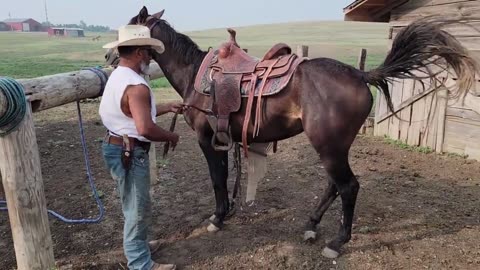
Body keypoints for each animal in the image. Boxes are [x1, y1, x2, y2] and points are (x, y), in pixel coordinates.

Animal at [125, 7, 478, 258]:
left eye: (131, 27)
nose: (114, 55)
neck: (197, 75)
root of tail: (359, 74)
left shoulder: (207, 140)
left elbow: (216, 179)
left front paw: (217, 218)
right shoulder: (222, 141)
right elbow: (224, 177)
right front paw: (226, 213)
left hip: (329, 146)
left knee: (348, 186)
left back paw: (337, 242)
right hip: (335, 146)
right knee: (335, 185)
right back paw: (311, 225)